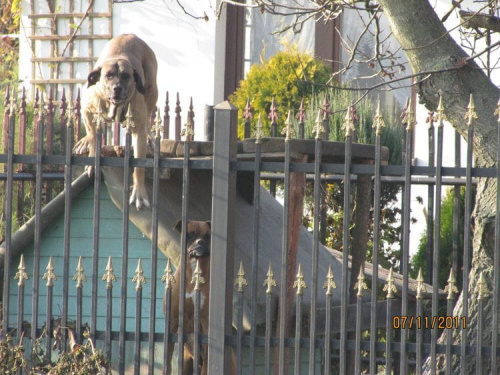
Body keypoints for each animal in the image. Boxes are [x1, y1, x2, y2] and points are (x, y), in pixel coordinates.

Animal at [74, 33, 158, 210]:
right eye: (109, 75)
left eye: (126, 76)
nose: (117, 88)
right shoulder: (87, 112)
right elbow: (93, 139)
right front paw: (92, 160)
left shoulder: (138, 130)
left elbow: (139, 166)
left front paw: (139, 193)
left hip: (152, 91)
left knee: (148, 118)